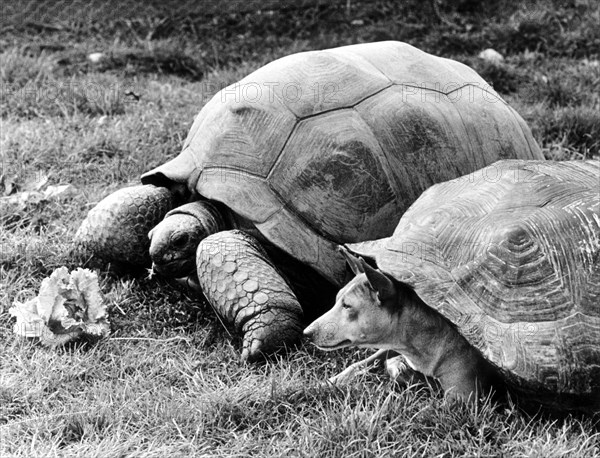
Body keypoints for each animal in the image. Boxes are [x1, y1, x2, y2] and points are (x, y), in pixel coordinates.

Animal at [302, 249, 494, 402]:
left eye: (347, 306)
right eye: (336, 300)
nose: (306, 333)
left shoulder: (461, 398)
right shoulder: (390, 346)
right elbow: (358, 365)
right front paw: (321, 385)